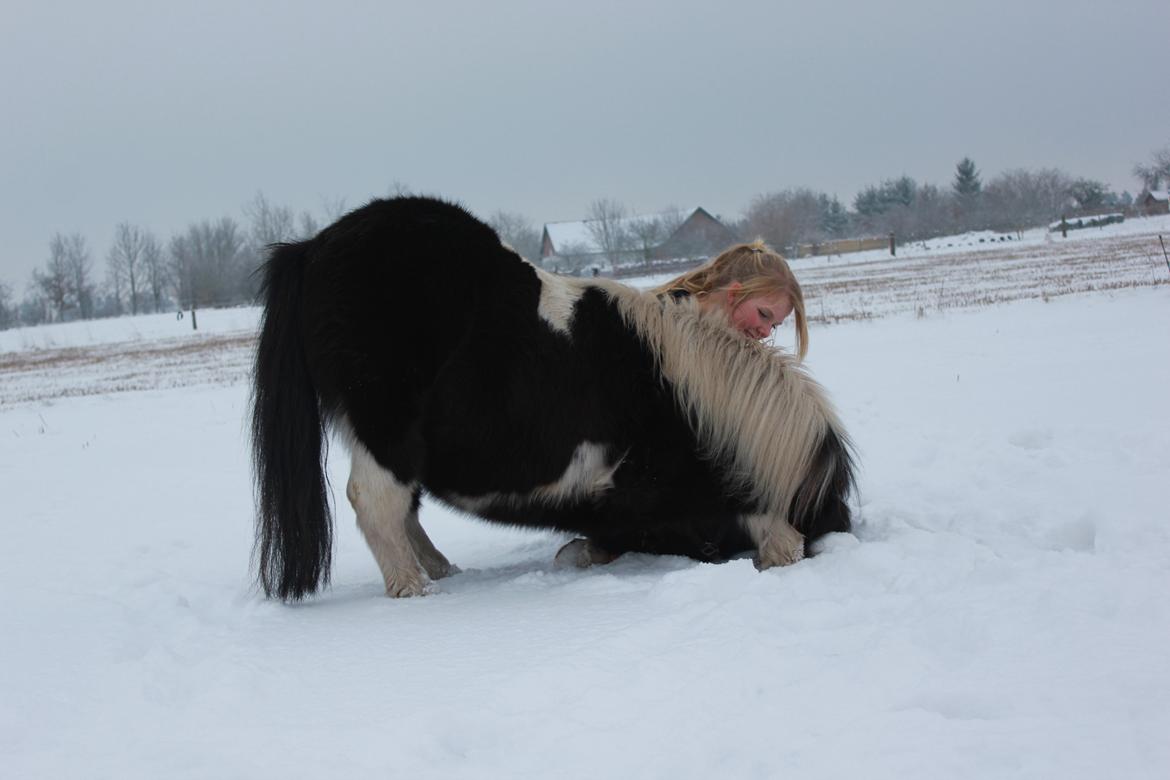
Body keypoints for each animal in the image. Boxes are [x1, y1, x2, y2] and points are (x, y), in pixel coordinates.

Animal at [251, 195, 856, 598]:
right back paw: (414, 589)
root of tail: (314, 247)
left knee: (404, 512)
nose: (843, 527)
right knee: (376, 501)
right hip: (385, 425)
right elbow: (765, 531)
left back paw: (439, 571)